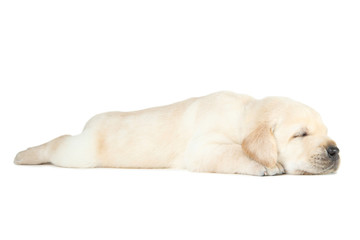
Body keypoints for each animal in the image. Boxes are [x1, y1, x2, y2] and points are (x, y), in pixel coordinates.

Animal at [14, 91, 340, 175]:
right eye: (301, 134)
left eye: (325, 132)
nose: (335, 151)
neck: (242, 115)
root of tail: (90, 123)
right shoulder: (202, 148)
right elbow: (234, 151)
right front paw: (267, 164)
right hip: (81, 153)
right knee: (58, 143)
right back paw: (23, 154)